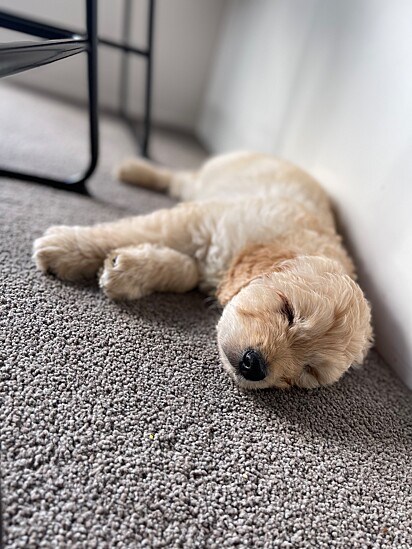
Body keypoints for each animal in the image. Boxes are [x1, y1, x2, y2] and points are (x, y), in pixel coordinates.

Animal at [33, 151, 374, 390]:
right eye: (287, 311)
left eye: (309, 370)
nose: (254, 366)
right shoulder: (195, 220)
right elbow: (129, 230)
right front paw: (65, 247)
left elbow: (185, 272)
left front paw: (127, 269)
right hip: (201, 182)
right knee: (176, 177)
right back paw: (133, 169)